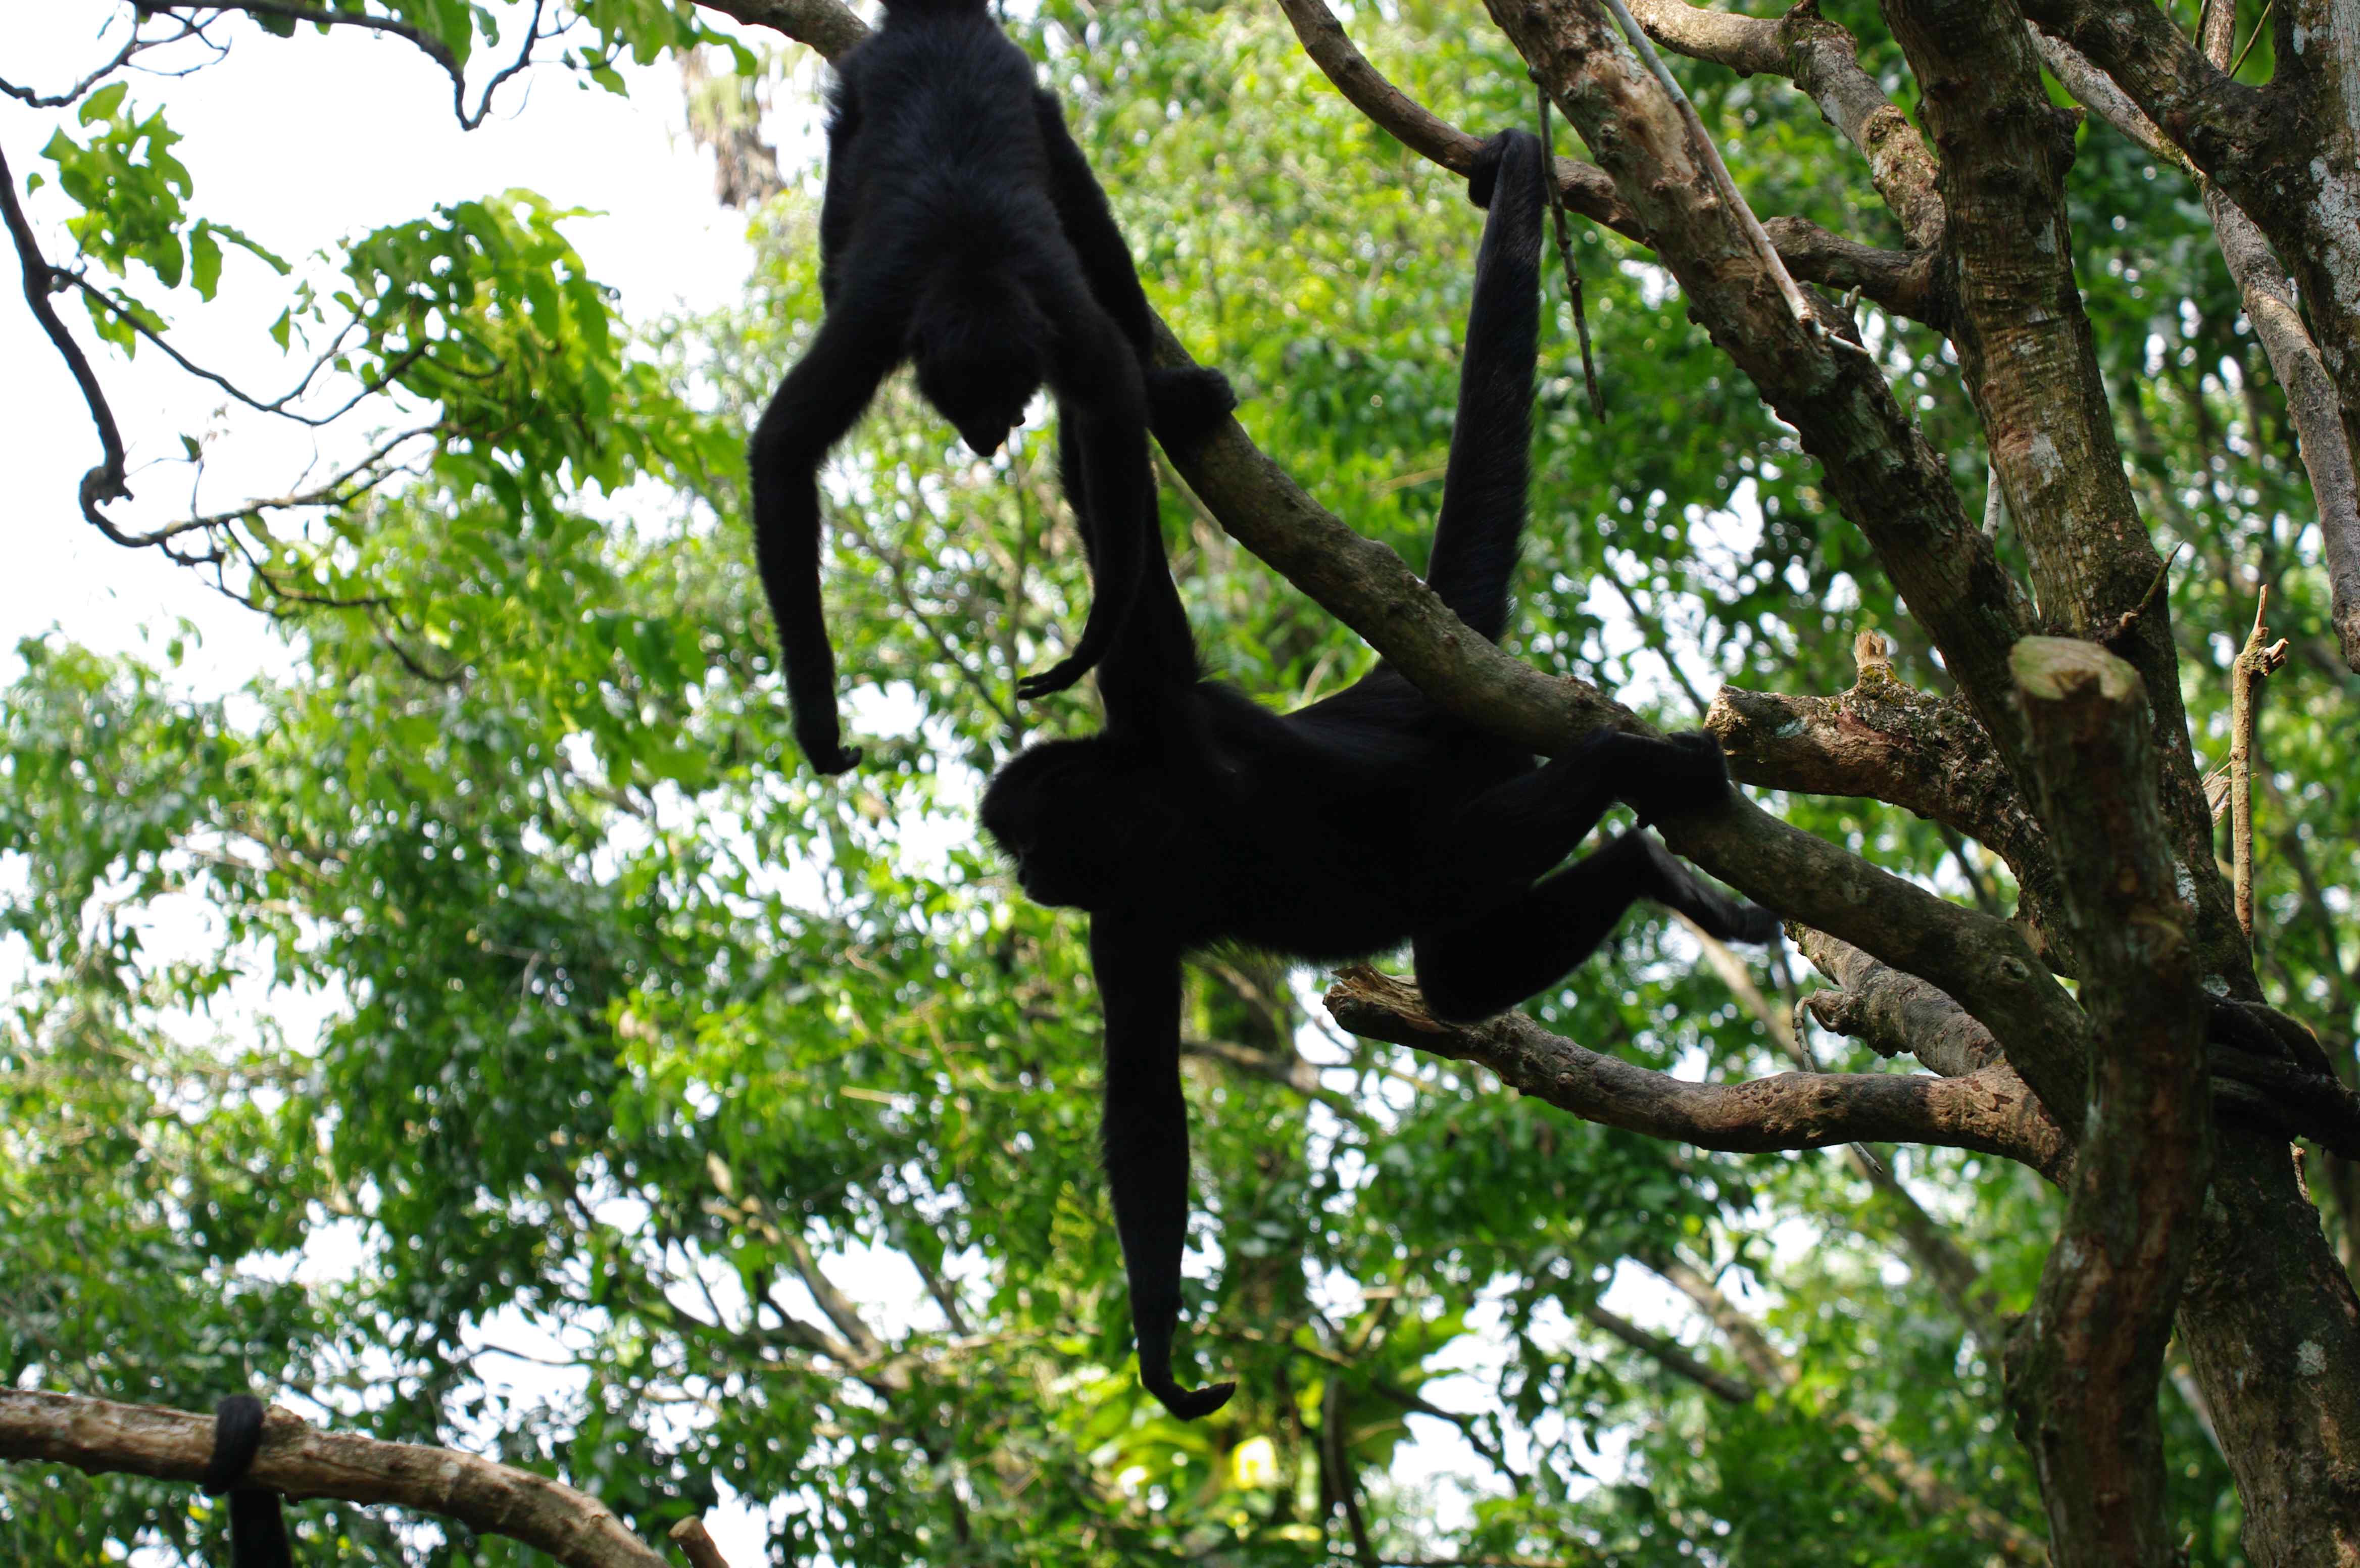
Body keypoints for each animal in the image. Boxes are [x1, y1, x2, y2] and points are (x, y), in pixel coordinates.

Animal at [749, 0, 1234, 775]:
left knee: (1095, 227)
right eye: (964, 408)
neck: (969, 262)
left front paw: (1096, 637)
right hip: (856, 105)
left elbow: (1112, 411)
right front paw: (820, 720)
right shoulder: (876, 318)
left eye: (1008, 404)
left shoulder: (1061, 315)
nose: (988, 439)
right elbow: (783, 452)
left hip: (1036, 104)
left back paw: (1171, 396)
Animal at [978, 130, 1780, 1420]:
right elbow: (1145, 1097)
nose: (1021, 879)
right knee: (1454, 971)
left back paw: (1631, 783)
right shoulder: (1123, 912)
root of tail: (1395, 688)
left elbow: (1125, 545)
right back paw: (1647, 866)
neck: (1147, 815)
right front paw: (1159, 1347)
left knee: (1452, 874)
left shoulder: (1159, 710)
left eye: (1021, 839)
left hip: (1448, 786)